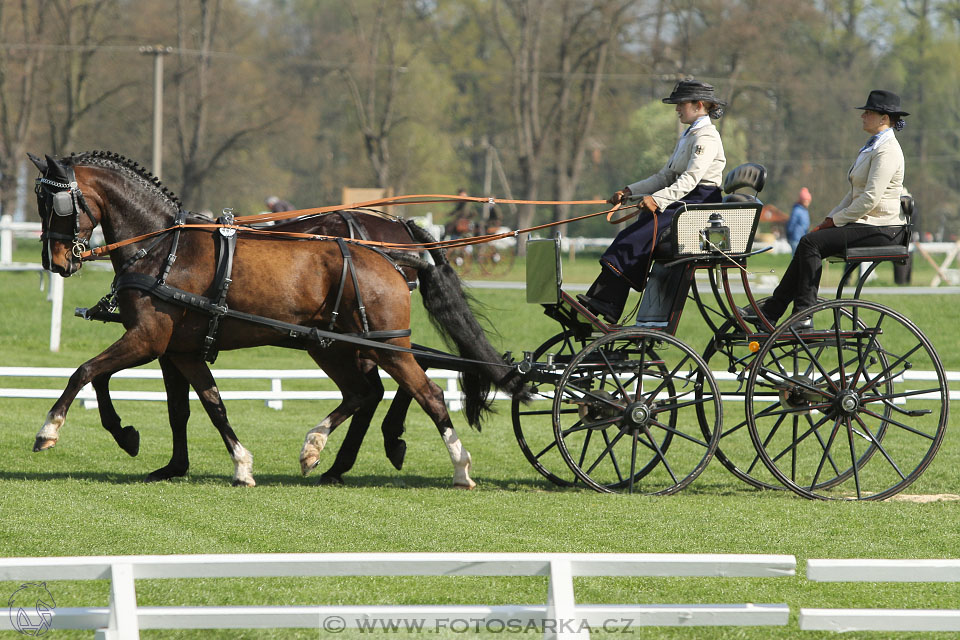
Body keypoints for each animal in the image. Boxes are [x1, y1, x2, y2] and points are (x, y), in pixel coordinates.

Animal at [30, 152, 524, 488]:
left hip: (382, 345)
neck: (163, 248)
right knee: (367, 392)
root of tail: (390, 251)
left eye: (57, 203)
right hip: (336, 345)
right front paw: (211, 464)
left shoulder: (148, 338)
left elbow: (85, 372)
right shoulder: (178, 350)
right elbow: (199, 405)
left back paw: (456, 467)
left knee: (426, 392)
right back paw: (323, 454)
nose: (56, 262)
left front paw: (51, 430)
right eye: (39, 200)